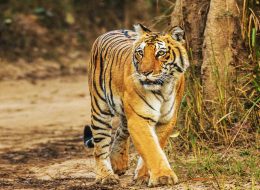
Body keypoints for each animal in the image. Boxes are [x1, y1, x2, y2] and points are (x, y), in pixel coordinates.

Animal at [84, 24, 190, 187]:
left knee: (121, 131)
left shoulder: (166, 120)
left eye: (160, 53)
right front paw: (163, 176)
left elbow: (156, 145)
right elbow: (151, 147)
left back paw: (118, 163)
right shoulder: (139, 118)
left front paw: (143, 176)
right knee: (100, 146)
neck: (162, 89)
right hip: (100, 107)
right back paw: (106, 176)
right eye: (140, 53)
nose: (145, 72)